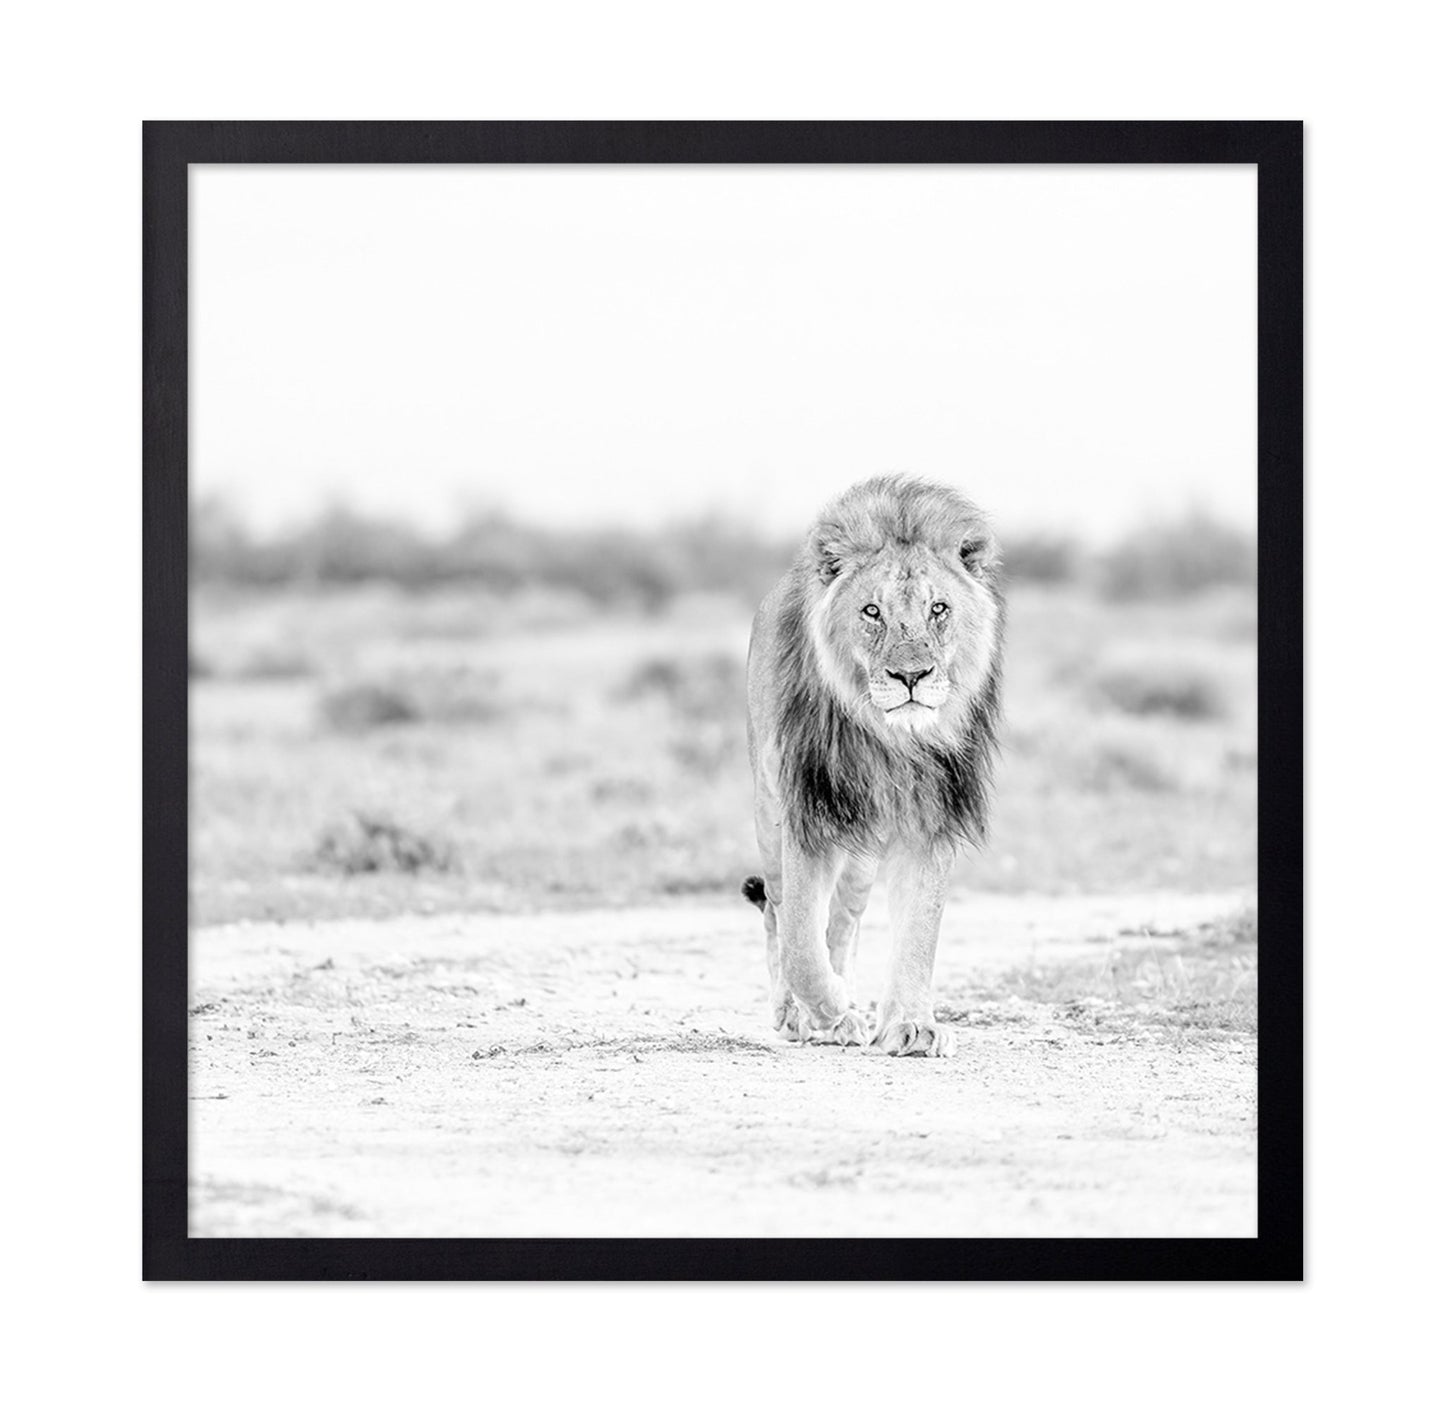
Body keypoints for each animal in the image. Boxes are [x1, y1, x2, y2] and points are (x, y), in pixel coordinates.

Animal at [742, 474, 1004, 1058]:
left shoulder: (930, 820)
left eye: (938, 609)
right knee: (777, 910)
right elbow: (800, 945)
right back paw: (801, 1014)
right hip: (770, 817)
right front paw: (830, 1012)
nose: (912, 676)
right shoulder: (808, 814)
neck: (889, 741)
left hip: (861, 854)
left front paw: (912, 1024)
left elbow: (919, 933)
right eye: (871, 612)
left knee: (843, 921)